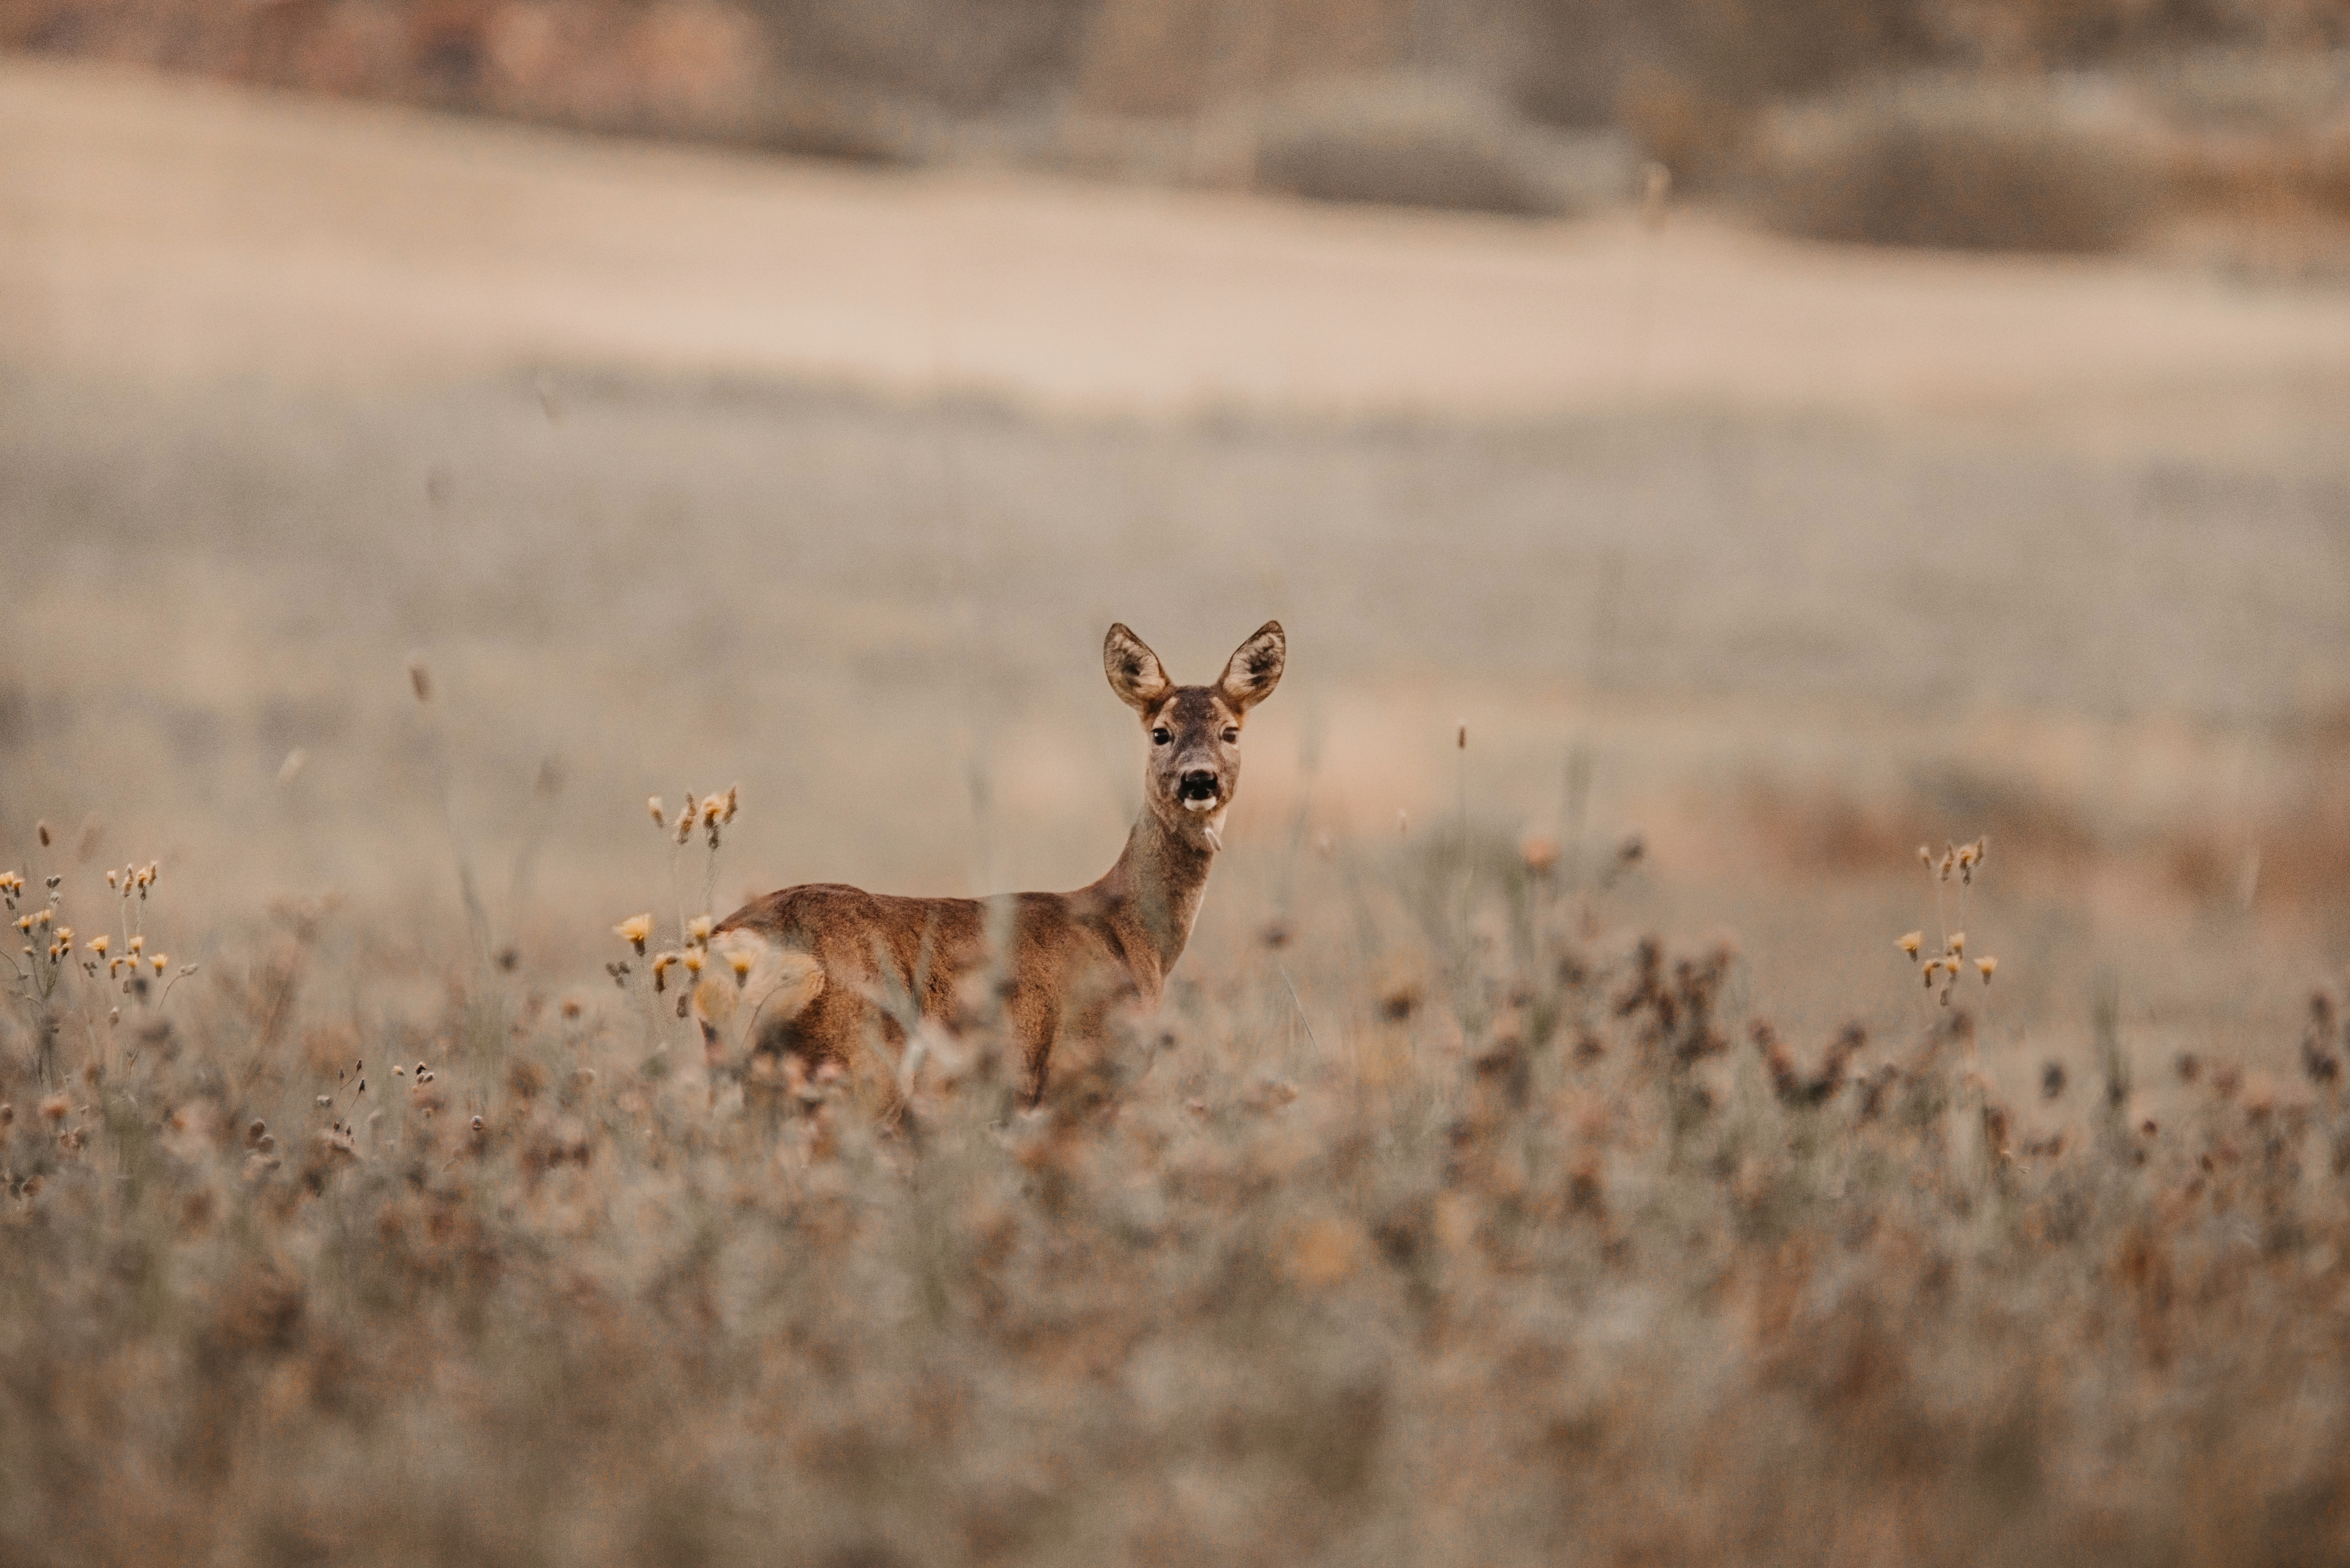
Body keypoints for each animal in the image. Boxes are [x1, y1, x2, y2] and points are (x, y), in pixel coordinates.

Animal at [695, 622, 1286, 1112]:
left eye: (1231, 732)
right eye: (1161, 732)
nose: (1200, 779)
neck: (1133, 935)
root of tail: (737, 944)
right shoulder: (1077, 1077)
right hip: (852, 1066)